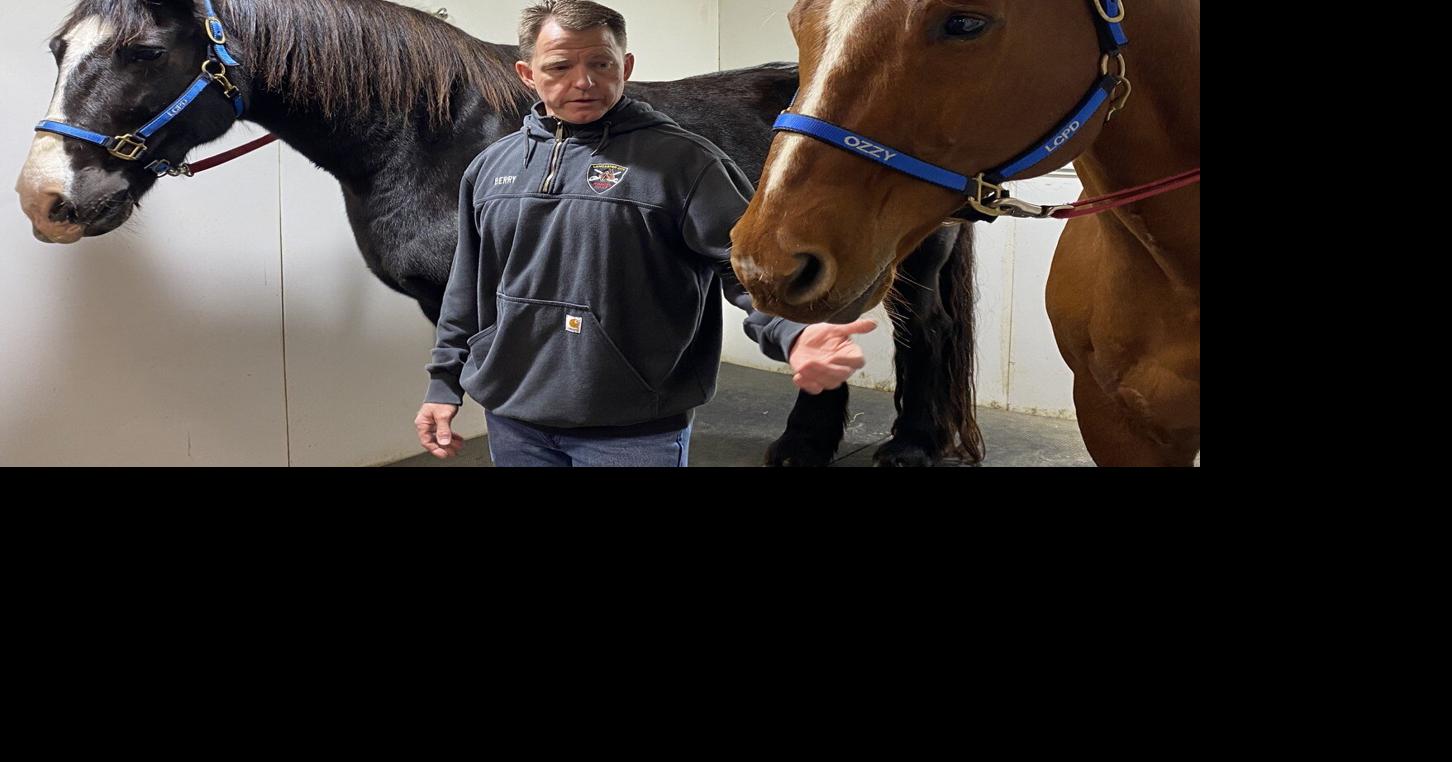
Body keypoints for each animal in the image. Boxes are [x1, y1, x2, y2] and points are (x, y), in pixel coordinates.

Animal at [15, 0, 981, 466]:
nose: (44, 198)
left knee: (925, 336)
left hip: (909, 264)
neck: (437, 132)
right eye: (59, 50)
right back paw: (805, 448)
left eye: (145, 52)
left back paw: (908, 447)